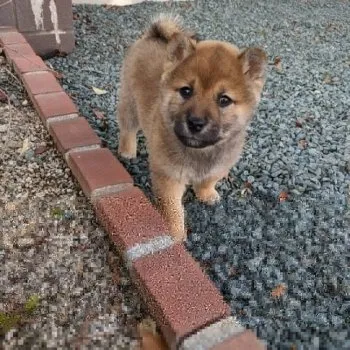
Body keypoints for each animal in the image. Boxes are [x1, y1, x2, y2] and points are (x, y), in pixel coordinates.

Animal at [117, 15, 268, 241]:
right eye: (186, 91)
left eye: (224, 100)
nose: (195, 123)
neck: (201, 151)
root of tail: (153, 35)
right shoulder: (169, 176)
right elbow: (172, 209)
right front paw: (175, 233)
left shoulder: (221, 165)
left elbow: (209, 180)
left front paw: (207, 194)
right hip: (130, 104)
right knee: (127, 129)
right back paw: (127, 150)